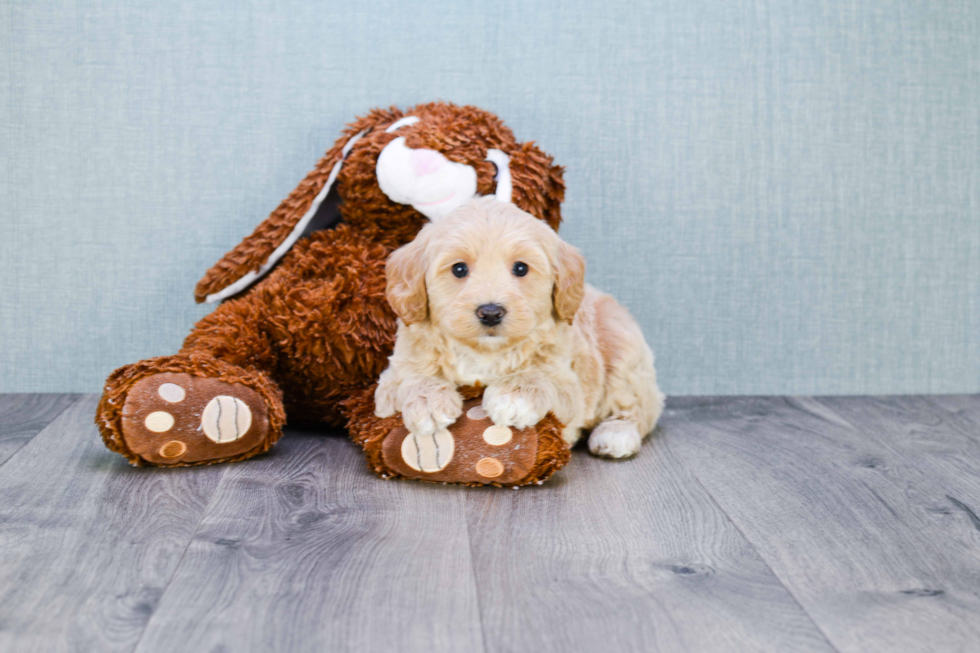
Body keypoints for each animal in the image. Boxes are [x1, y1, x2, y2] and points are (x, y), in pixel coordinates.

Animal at [376, 196, 668, 456]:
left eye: (520, 268)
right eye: (459, 269)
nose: (490, 313)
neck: (483, 352)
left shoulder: (567, 381)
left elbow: (541, 376)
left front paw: (514, 396)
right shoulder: (391, 376)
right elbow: (410, 378)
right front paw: (428, 402)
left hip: (623, 352)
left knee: (637, 407)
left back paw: (616, 434)